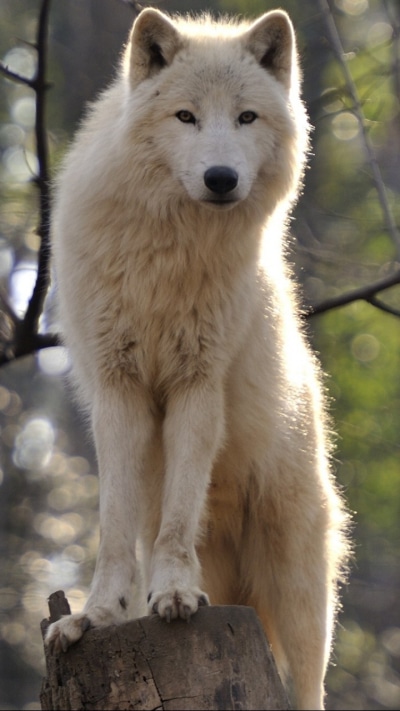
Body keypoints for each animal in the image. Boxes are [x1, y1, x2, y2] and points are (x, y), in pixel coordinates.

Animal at [45, 7, 350, 709]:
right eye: (185, 116)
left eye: (246, 118)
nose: (220, 179)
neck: (170, 252)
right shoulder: (119, 389)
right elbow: (114, 526)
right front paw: (96, 616)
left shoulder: (197, 384)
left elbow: (179, 517)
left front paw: (177, 595)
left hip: (300, 589)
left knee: (309, 685)